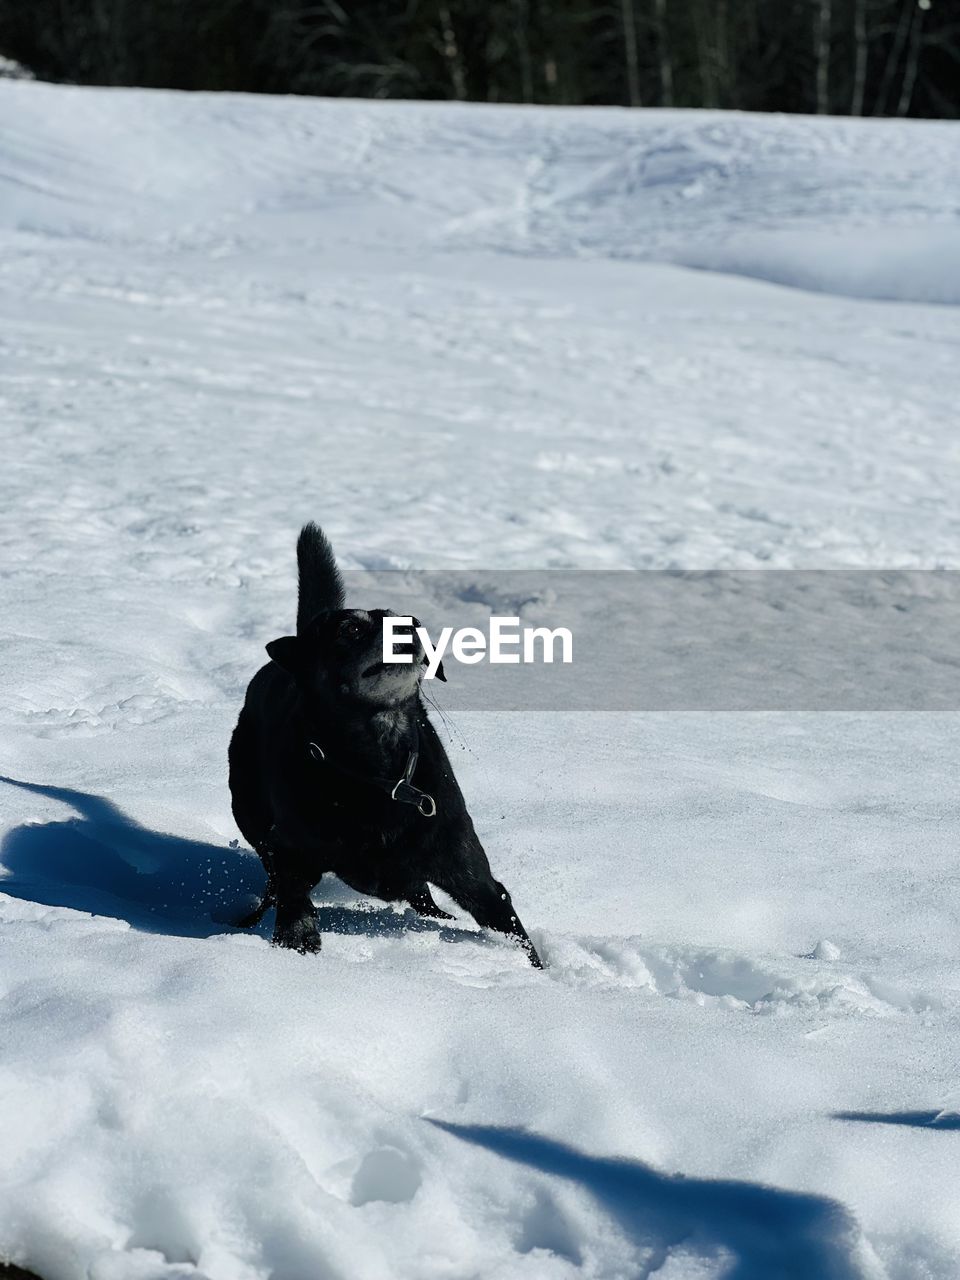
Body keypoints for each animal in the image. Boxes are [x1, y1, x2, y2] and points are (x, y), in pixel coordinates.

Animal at [225, 524, 542, 962]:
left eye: (415, 622)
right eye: (350, 630)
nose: (407, 628)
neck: (379, 769)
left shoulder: (469, 870)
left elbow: (510, 923)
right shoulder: (289, 848)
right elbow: (293, 894)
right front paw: (299, 936)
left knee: (421, 895)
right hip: (250, 811)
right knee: (272, 878)